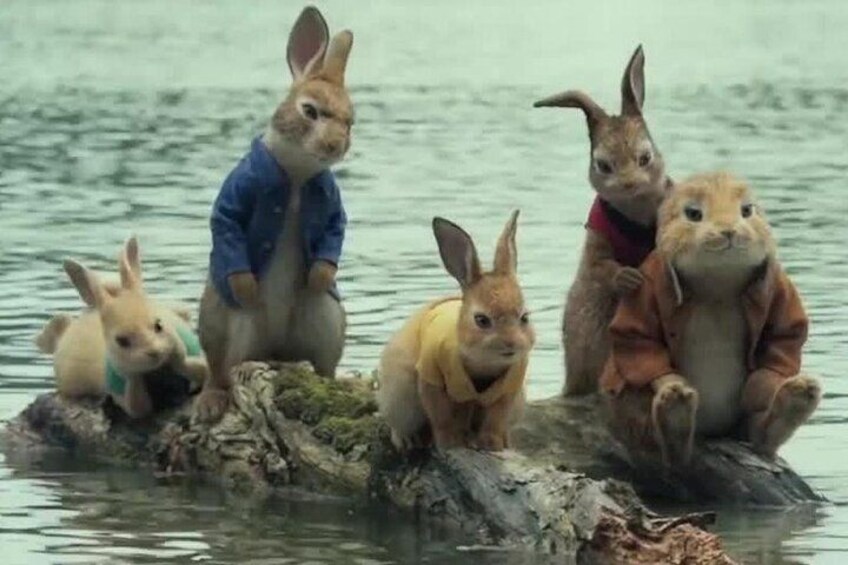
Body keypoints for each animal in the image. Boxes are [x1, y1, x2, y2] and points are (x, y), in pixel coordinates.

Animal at [35, 237, 208, 419]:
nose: (154, 352)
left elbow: (196, 367)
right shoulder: (125, 393)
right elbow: (138, 405)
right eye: (122, 341)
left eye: (159, 325)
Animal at [195, 6, 355, 423]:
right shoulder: (237, 195)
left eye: (350, 120)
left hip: (326, 321)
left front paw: (318, 276)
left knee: (323, 366)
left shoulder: (332, 209)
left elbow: (334, 233)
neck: (296, 176)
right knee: (221, 371)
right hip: (228, 326)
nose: (335, 145)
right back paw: (212, 400)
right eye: (309, 110)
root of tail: (279, 349)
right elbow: (227, 225)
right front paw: (247, 286)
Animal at [377, 211, 535, 452]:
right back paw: (406, 441)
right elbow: (441, 417)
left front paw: (494, 445)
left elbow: (495, 421)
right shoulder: (431, 378)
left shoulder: (507, 391)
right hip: (399, 395)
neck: (483, 363)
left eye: (524, 317)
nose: (512, 344)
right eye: (481, 320)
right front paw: (450, 444)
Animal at [534, 45, 673, 396]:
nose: (629, 183)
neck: (636, 212)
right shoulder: (596, 239)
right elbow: (602, 267)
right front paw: (627, 277)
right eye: (603, 165)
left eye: (645, 157)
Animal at [600, 172, 820, 467]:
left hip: (743, 429)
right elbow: (637, 336)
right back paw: (675, 410)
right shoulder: (646, 285)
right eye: (693, 213)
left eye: (747, 210)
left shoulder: (778, 287)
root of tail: (714, 432)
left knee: (760, 436)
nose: (728, 231)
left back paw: (795, 399)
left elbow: (785, 333)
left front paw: (768, 387)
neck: (718, 281)